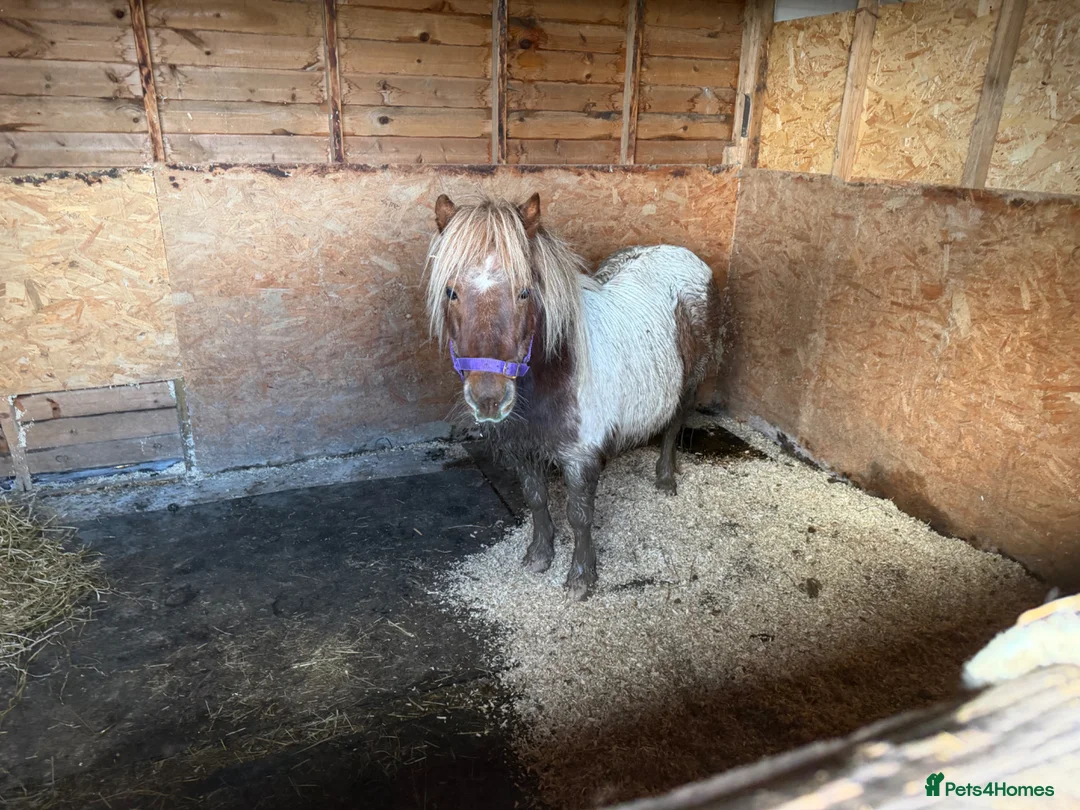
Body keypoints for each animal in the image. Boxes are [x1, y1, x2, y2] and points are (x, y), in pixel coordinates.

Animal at [425, 192, 721, 600]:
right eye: (451, 291)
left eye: (524, 291)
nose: (488, 399)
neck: (555, 377)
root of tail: (680, 252)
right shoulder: (523, 450)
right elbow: (536, 500)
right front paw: (539, 556)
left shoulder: (580, 458)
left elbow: (580, 516)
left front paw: (581, 578)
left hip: (691, 383)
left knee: (674, 426)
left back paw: (665, 479)